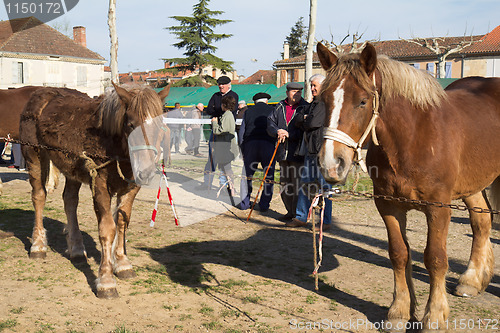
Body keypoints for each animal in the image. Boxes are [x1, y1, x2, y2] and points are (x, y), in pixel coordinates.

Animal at [20, 84, 170, 296]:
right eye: (130, 125)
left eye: (159, 125)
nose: (146, 171)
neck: (113, 145)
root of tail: (40, 93)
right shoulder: (98, 183)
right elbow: (107, 228)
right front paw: (106, 281)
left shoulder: (131, 186)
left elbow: (122, 222)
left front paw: (122, 264)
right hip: (34, 156)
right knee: (39, 196)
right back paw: (38, 245)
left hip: (72, 169)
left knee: (70, 201)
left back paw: (76, 248)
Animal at [316, 42, 500, 330]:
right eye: (324, 100)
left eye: (362, 101)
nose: (331, 163)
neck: (412, 138)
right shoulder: (388, 205)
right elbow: (399, 254)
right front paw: (400, 311)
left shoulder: (439, 208)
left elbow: (435, 259)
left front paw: (434, 316)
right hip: (472, 185)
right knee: (481, 222)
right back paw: (471, 280)